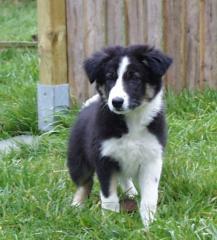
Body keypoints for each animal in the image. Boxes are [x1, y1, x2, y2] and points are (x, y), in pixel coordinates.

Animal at [68, 45, 173, 227]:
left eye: (135, 78)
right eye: (109, 77)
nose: (116, 102)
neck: (132, 121)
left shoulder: (152, 157)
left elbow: (150, 197)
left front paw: (149, 223)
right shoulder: (104, 158)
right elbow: (109, 196)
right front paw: (111, 222)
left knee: (123, 176)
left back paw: (131, 192)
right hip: (78, 159)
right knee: (84, 183)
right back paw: (76, 206)